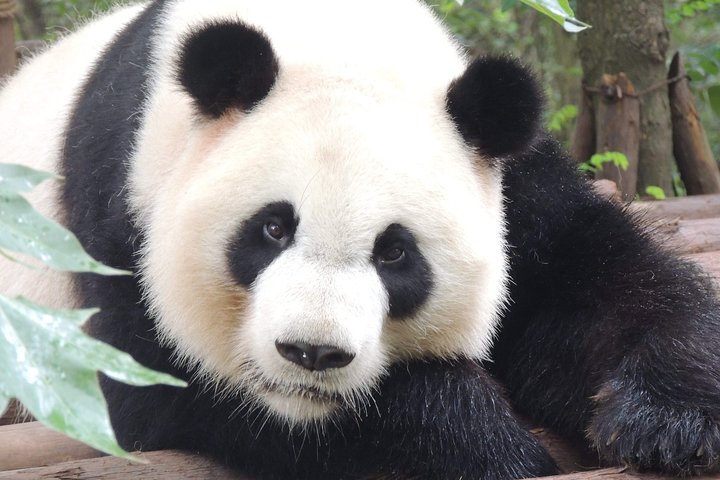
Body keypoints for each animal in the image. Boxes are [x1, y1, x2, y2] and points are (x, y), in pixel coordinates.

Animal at [2, 0, 720, 478]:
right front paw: (490, 447)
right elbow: (155, 378)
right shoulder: (119, 198)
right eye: (272, 227)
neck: (331, 35)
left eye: (394, 252)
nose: (311, 353)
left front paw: (670, 421)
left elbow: (596, 280)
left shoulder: (506, 171)